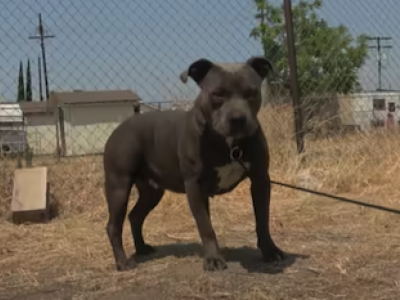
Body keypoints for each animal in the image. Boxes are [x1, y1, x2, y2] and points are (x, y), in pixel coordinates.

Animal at [103, 55, 284, 270]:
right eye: (217, 94)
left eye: (251, 92)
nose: (237, 118)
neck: (228, 143)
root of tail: (119, 128)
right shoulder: (195, 186)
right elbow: (206, 226)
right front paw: (213, 258)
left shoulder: (260, 180)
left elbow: (262, 219)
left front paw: (270, 251)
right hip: (119, 186)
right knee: (113, 226)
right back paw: (123, 261)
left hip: (152, 191)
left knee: (135, 216)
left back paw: (141, 249)